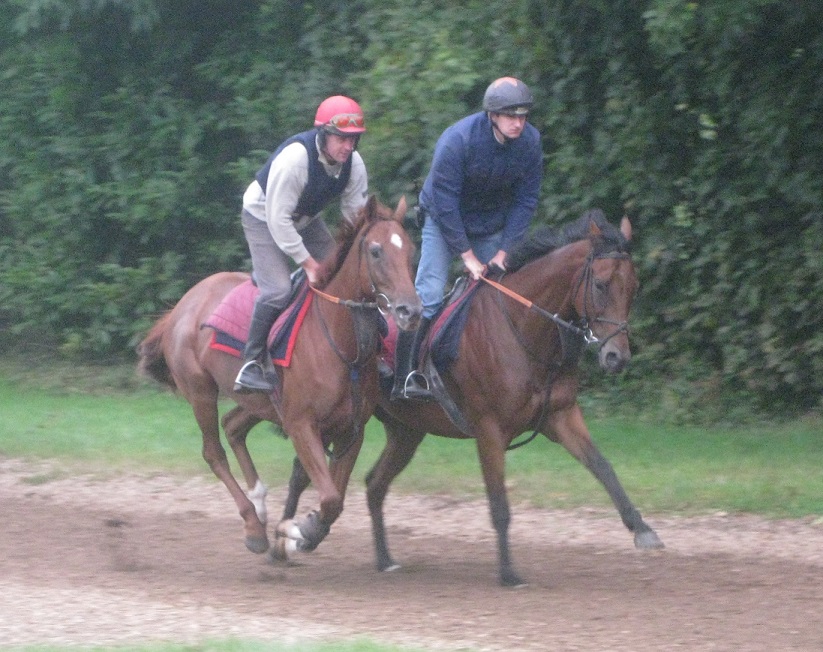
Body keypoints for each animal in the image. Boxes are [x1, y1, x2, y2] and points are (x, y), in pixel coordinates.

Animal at [138, 197, 422, 556]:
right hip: (201, 392)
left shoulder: (350, 430)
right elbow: (330, 498)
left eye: (410, 249)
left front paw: (301, 531)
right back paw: (253, 525)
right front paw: (296, 531)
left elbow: (335, 501)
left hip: (259, 401)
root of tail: (181, 306)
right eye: (375, 250)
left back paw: (259, 503)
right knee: (213, 452)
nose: (410, 311)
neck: (342, 344)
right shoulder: (301, 423)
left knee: (233, 426)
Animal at [280, 209, 668, 584]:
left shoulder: (561, 415)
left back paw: (383, 559)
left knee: (374, 484)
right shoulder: (489, 429)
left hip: (405, 430)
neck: (524, 329)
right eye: (600, 285)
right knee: (304, 473)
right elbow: (499, 504)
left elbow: (603, 467)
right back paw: (291, 539)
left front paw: (642, 528)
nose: (617, 357)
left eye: (634, 287)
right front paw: (509, 572)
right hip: (332, 420)